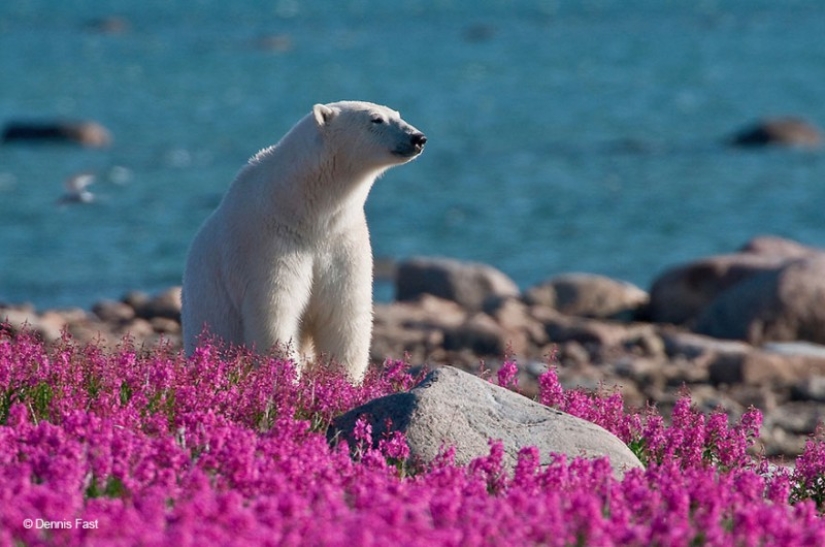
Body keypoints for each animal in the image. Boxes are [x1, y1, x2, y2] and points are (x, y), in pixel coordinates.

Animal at [180, 100, 424, 382]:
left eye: (397, 114)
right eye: (376, 119)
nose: (418, 138)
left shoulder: (342, 240)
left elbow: (344, 314)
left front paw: (345, 382)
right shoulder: (267, 241)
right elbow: (275, 312)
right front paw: (287, 380)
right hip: (208, 315)